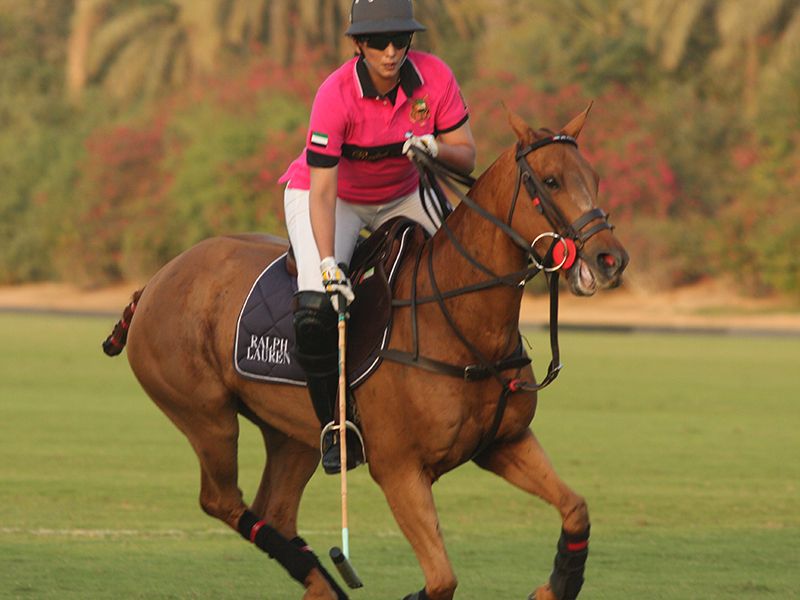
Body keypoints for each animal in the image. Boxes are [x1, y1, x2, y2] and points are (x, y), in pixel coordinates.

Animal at [102, 107, 628, 600]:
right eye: (551, 180)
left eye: (595, 178)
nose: (610, 260)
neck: (458, 320)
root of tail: (154, 281)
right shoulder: (399, 470)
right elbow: (441, 580)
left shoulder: (505, 442)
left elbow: (576, 509)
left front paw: (555, 585)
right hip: (205, 417)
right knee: (223, 500)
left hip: (292, 433)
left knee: (276, 508)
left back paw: (320, 583)